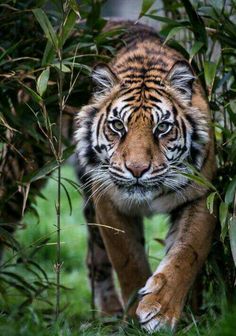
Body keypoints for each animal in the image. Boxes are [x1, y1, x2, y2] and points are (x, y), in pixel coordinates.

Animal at [74, 22, 216, 332]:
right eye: (118, 125)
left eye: (162, 128)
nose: (137, 169)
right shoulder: (107, 200)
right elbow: (128, 259)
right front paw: (132, 318)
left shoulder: (203, 196)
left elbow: (186, 253)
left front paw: (160, 310)